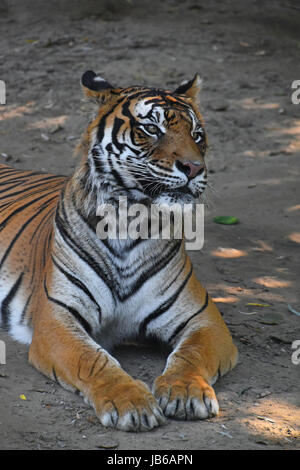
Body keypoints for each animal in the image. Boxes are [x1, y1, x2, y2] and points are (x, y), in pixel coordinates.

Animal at [0, 71, 239, 432]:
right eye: (152, 129)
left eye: (197, 135)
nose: (194, 168)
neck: (130, 220)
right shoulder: (57, 319)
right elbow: (93, 359)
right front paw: (132, 403)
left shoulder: (203, 318)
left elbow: (191, 354)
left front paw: (185, 390)